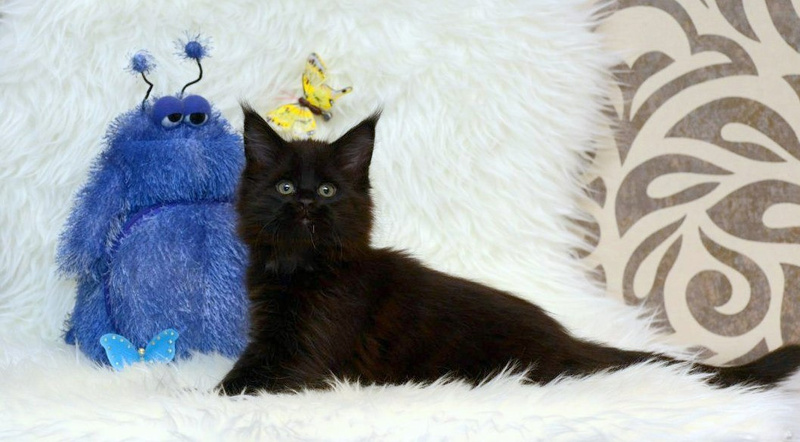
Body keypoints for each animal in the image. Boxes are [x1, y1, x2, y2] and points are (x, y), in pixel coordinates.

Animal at [218, 106, 800, 394]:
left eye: (327, 190)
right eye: (285, 187)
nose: (305, 205)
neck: (300, 268)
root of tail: (567, 341)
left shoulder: (308, 351)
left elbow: (251, 380)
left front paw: (210, 396)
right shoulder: (273, 333)